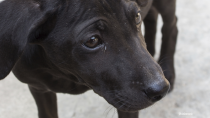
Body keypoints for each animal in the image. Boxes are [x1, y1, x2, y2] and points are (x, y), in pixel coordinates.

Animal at [0, 0, 177, 118]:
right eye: (92, 41)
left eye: (137, 17)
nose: (161, 89)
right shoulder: (38, 88)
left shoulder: (127, 102)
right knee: (153, 16)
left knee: (171, 26)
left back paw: (167, 69)